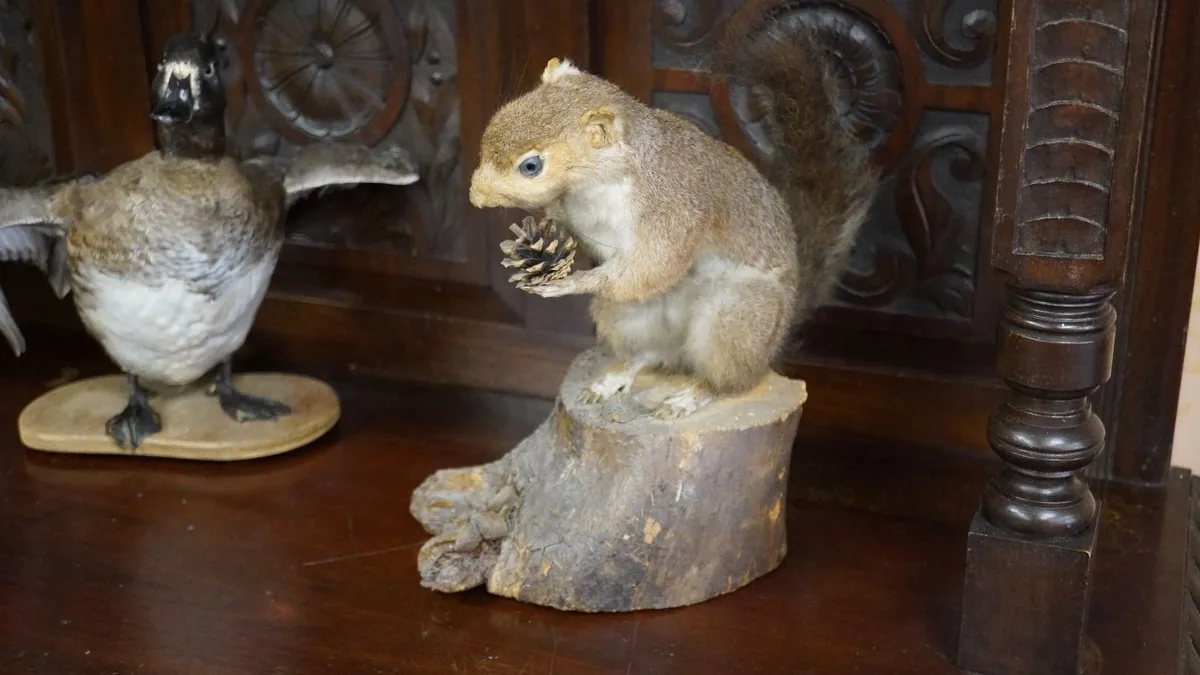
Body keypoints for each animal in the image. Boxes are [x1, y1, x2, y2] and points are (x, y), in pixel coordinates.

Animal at [468, 16, 878, 419]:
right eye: (501, 116)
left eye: (531, 166)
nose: (475, 196)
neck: (596, 185)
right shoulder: (579, 214)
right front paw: (547, 240)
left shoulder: (674, 211)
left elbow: (652, 266)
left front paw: (572, 282)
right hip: (625, 317)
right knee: (649, 355)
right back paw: (615, 377)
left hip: (734, 318)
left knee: (728, 380)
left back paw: (690, 397)